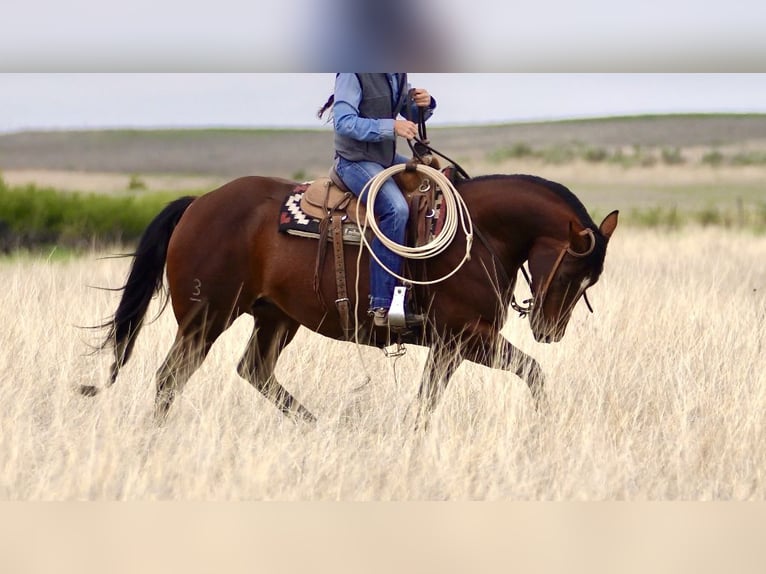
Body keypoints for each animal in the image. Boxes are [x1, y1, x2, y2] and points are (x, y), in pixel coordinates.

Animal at [81, 171, 620, 428]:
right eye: (570, 271)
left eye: (590, 282)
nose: (549, 330)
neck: (475, 235)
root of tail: (199, 203)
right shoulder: (469, 336)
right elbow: (534, 373)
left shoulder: (451, 346)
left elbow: (427, 401)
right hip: (206, 317)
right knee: (170, 377)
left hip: (275, 318)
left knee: (254, 370)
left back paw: (318, 428)